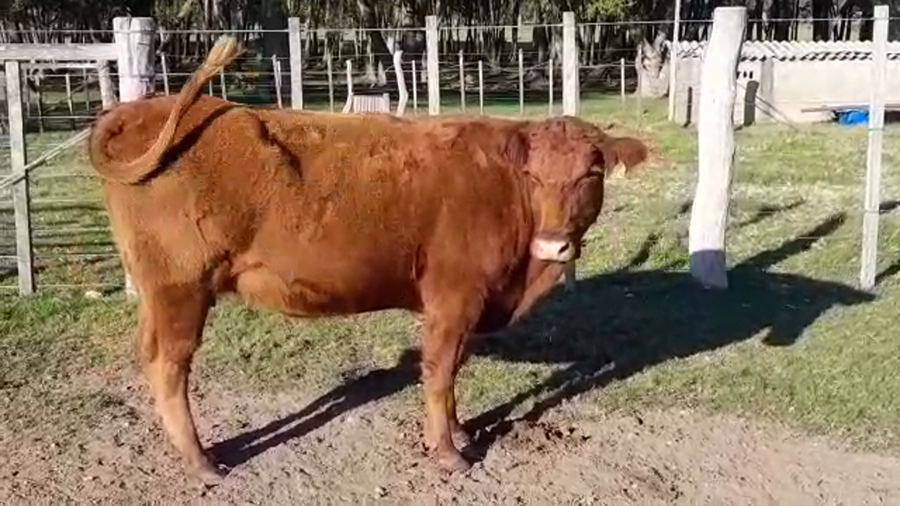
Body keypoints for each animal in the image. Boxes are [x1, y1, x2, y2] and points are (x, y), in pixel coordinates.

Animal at [87, 36, 648, 484]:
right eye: (532, 176)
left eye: (590, 174)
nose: (554, 245)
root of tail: (140, 111)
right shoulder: (454, 297)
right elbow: (440, 372)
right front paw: (447, 452)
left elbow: (454, 370)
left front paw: (460, 432)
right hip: (182, 288)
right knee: (171, 366)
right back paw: (200, 460)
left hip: (159, 292)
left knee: (151, 356)